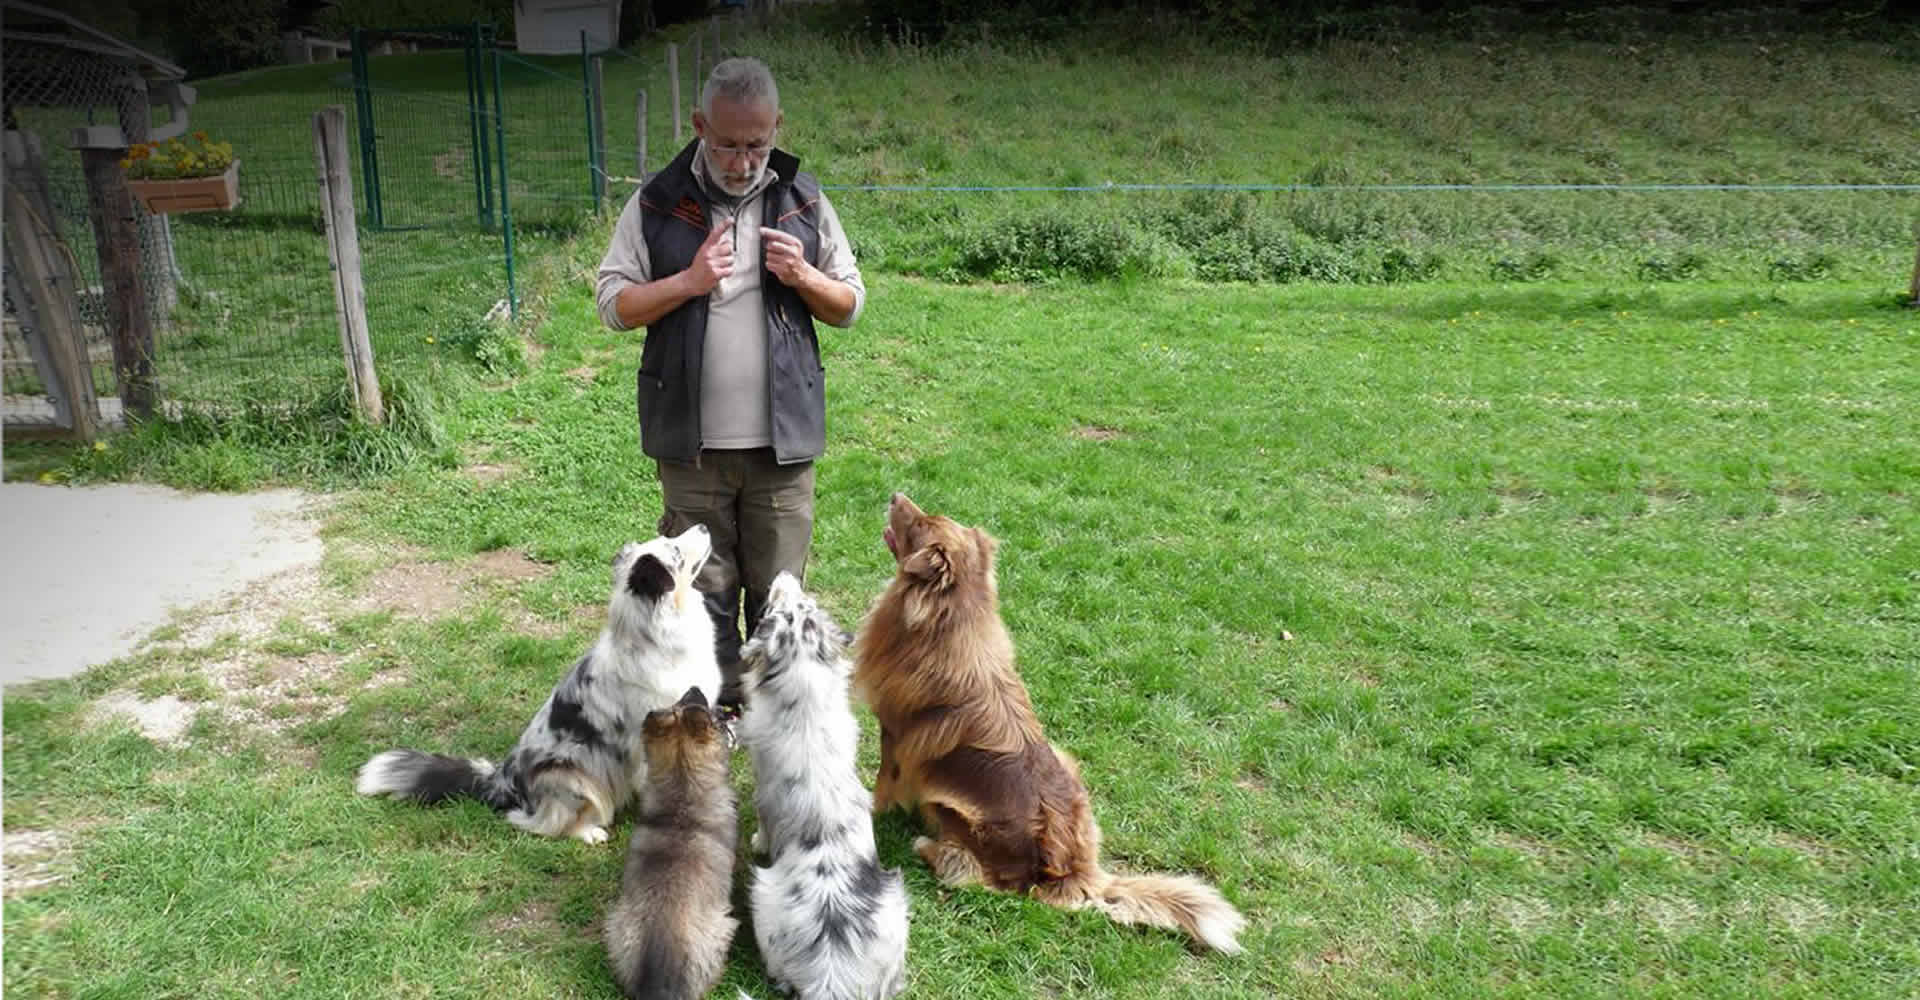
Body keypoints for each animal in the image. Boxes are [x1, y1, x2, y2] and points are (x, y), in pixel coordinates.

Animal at [357, 529, 721, 840]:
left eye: (671, 540)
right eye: (675, 551)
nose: (704, 527)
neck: (655, 638)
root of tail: (503, 780)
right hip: (574, 779)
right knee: (541, 823)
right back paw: (589, 832)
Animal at [602, 687, 737, 998]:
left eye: (676, 703)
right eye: (686, 701)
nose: (695, 688)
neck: (682, 798)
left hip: (617, 923)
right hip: (722, 926)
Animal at [737, 568, 910, 998]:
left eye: (793, 604)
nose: (784, 573)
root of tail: (832, 971)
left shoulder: (761, 787)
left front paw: (757, 842)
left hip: (761, 896)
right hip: (898, 904)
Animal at [856, 491, 1244, 952]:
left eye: (919, 525)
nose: (896, 495)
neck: (952, 619)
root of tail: (1076, 875)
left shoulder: (895, 734)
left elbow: (883, 784)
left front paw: (867, 807)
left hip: (957, 816)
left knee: (968, 873)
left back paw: (924, 846)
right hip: (1068, 765)